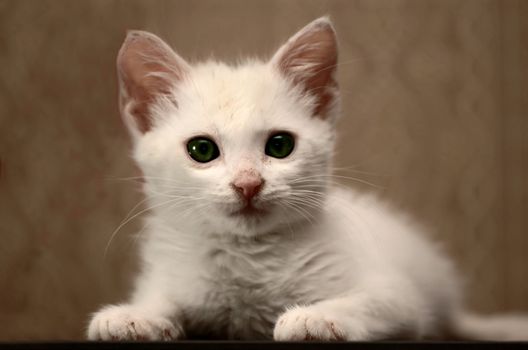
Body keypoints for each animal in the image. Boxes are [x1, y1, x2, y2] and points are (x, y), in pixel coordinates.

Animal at [87, 17, 528, 342]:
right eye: (202, 150)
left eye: (280, 145)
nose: (248, 184)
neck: (249, 258)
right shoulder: (174, 276)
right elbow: (162, 299)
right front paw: (134, 315)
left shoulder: (398, 295)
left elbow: (371, 302)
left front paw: (315, 317)